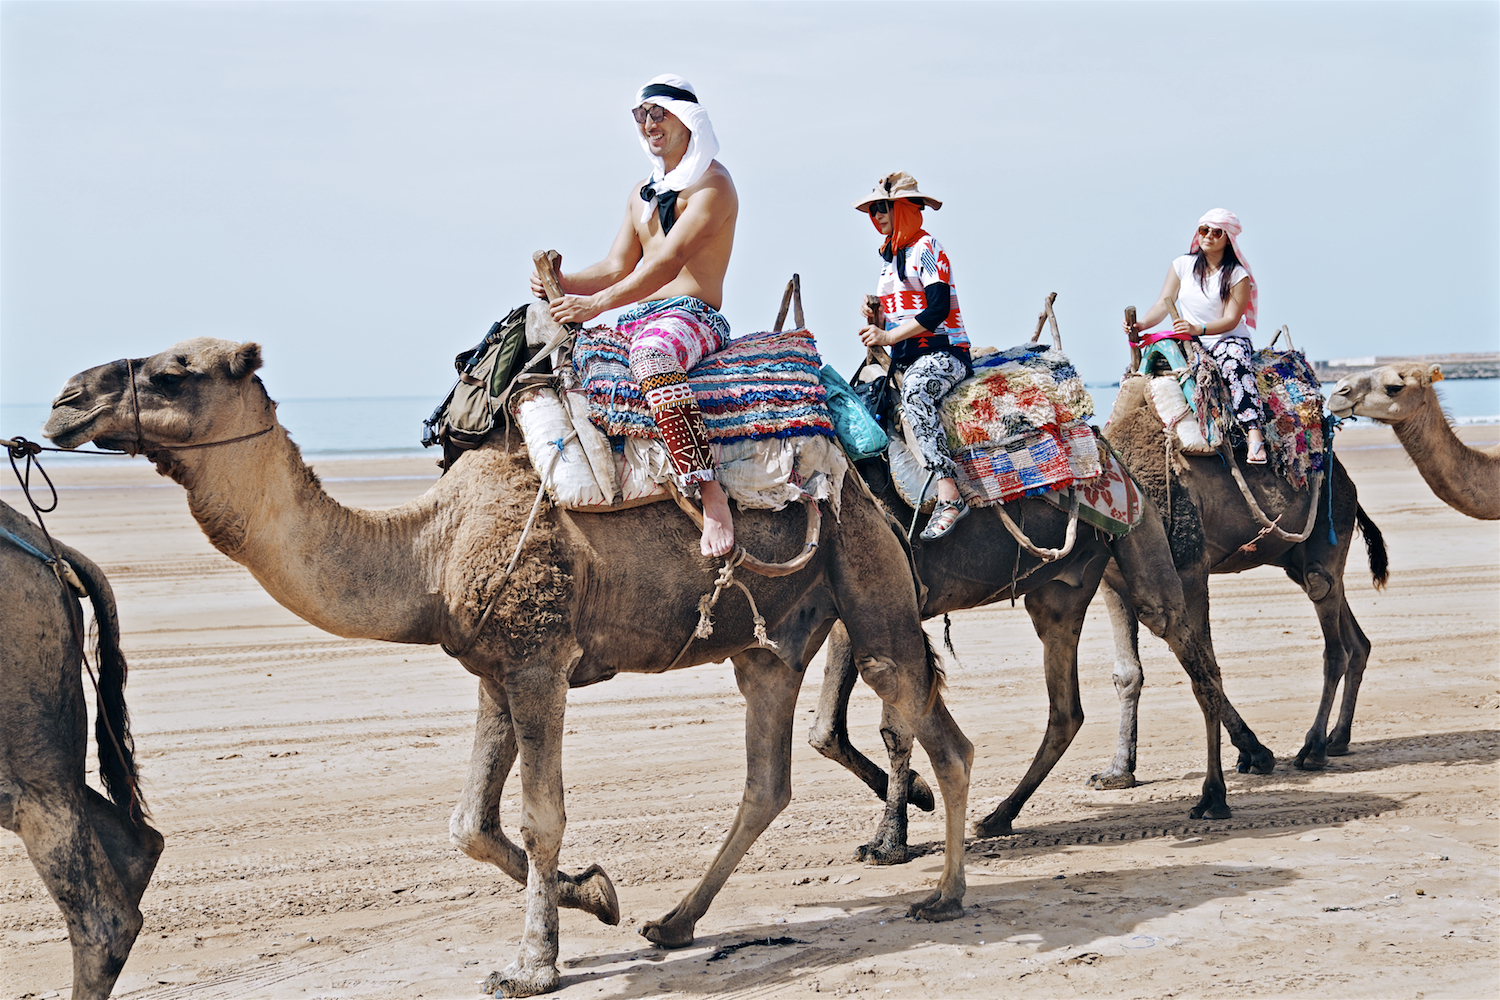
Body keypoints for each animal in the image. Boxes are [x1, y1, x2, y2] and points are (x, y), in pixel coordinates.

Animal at [44, 338, 973, 999]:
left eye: (175, 372)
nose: (64, 401)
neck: (428, 549)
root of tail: (850, 465)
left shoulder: (537, 664)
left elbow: (537, 817)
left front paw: (533, 965)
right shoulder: (493, 668)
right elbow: (469, 823)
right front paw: (596, 894)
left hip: (865, 570)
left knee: (931, 724)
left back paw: (945, 895)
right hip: (769, 640)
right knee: (769, 777)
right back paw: (675, 923)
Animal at [1101, 374, 1389, 772]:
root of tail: (1347, 480)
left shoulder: (1191, 570)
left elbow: (1204, 664)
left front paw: (1255, 751)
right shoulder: (1114, 581)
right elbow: (1127, 673)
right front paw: (1117, 768)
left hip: (1332, 522)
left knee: (1334, 639)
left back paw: (1314, 747)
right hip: (1296, 559)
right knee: (1350, 630)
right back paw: (1339, 738)